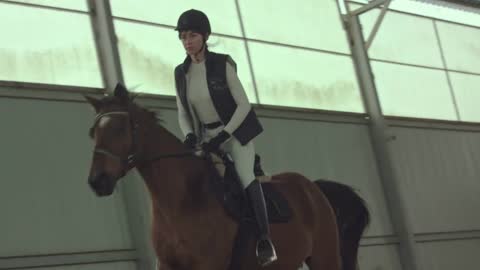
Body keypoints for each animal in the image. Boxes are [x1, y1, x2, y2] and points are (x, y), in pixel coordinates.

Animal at [86, 83, 370, 268]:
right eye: (93, 132)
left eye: (120, 128)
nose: (97, 181)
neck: (181, 201)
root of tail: (313, 188)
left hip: (324, 257)